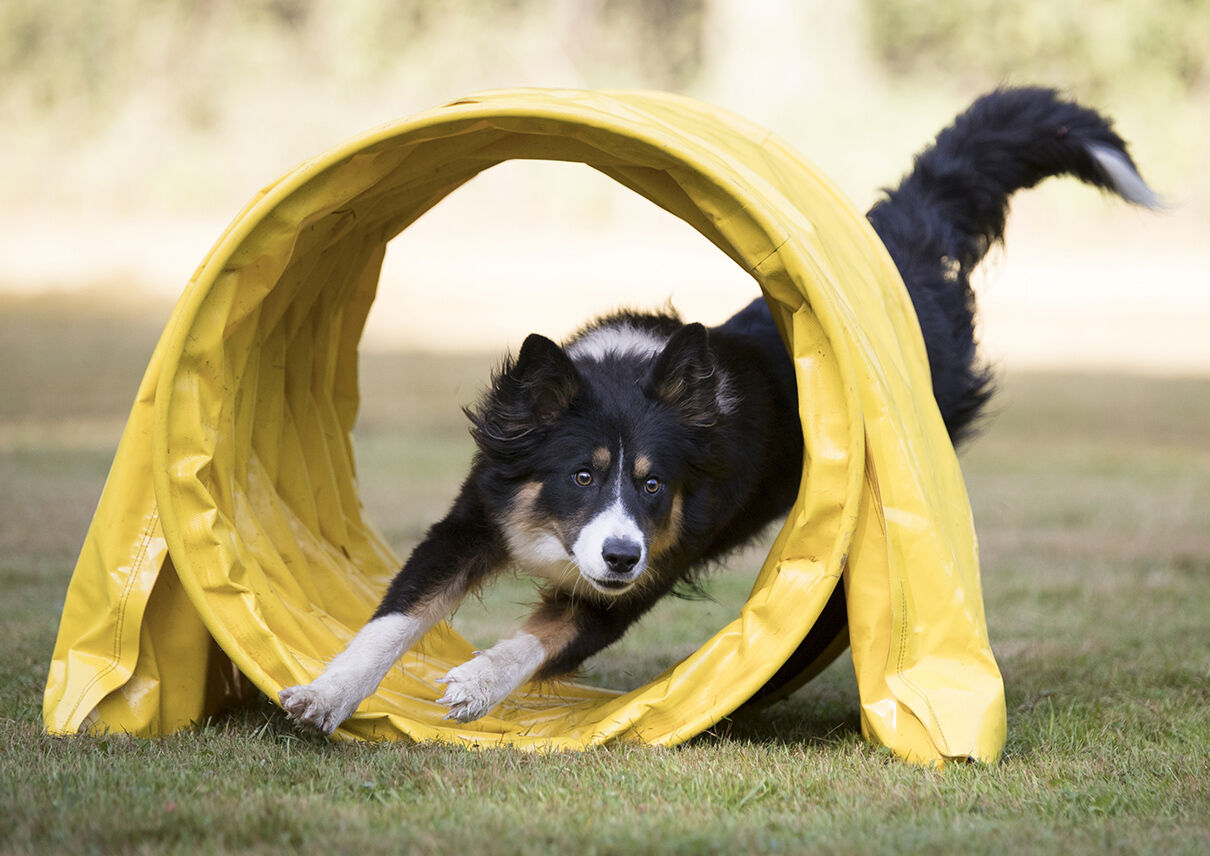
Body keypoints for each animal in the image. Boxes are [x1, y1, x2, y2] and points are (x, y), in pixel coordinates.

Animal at [278, 87, 1156, 731]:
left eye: (654, 485)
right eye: (582, 475)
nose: (619, 555)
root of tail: (903, 255)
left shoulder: (646, 575)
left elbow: (538, 637)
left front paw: (473, 683)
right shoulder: (475, 515)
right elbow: (394, 617)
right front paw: (326, 694)